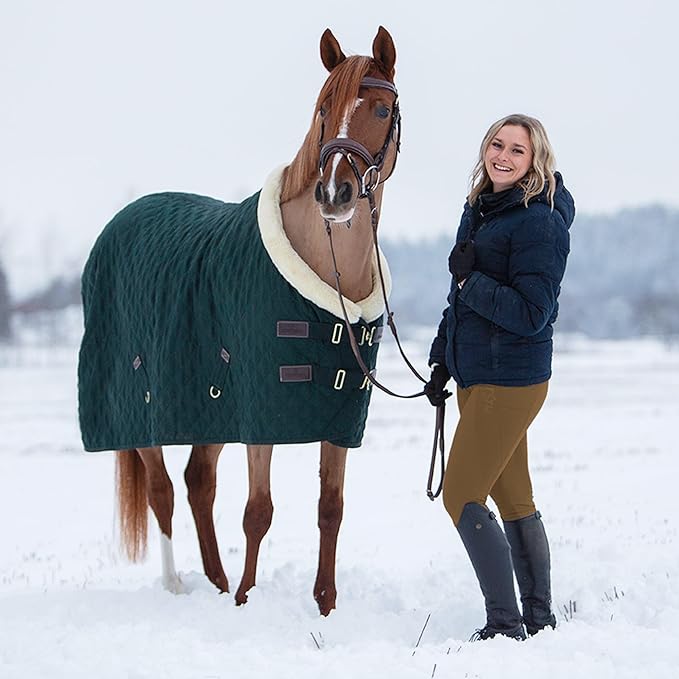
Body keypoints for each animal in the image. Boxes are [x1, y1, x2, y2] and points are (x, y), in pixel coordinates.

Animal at [77, 26, 401, 616]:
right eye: (323, 109)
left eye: (383, 109)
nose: (335, 193)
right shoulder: (259, 416)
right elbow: (258, 511)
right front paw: (249, 599)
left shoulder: (339, 418)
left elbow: (331, 508)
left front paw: (324, 605)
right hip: (143, 410)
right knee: (162, 490)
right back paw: (178, 585)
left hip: (208, 411)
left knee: (198, 481)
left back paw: (216, 580)